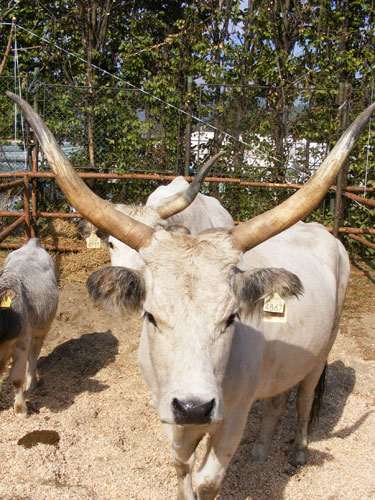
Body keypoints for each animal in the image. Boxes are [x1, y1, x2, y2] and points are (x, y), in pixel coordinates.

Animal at [7, 92, 374, 500]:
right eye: (151, 316)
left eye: (231, 318)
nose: (195, 407)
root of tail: (323, 233)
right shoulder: (171, 414)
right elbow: (182, 469)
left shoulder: (231, 417)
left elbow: (207, 480)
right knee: (277, 401)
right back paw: (261, 451)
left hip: (322, 352)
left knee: (305, 400)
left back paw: (298, 452)